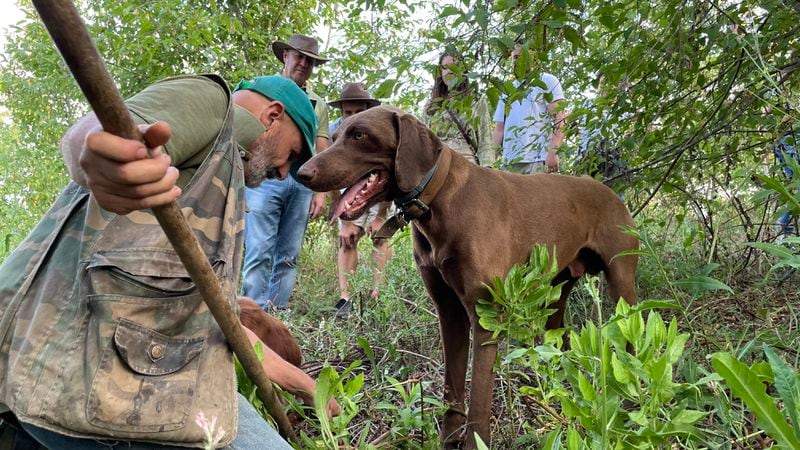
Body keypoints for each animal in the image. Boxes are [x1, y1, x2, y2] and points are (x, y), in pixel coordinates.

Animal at [296, 106, 636, 450]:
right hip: (558, 292)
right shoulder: (449, 312)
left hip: (622, 281)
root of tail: (609, 191)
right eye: (335, 136)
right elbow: (453, 388)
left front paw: (476, 441)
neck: (440, 200)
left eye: (359, 135)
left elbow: (478, 397)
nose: (302, 174)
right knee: (561, 341)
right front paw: (449, 439)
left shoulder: (486, 315)